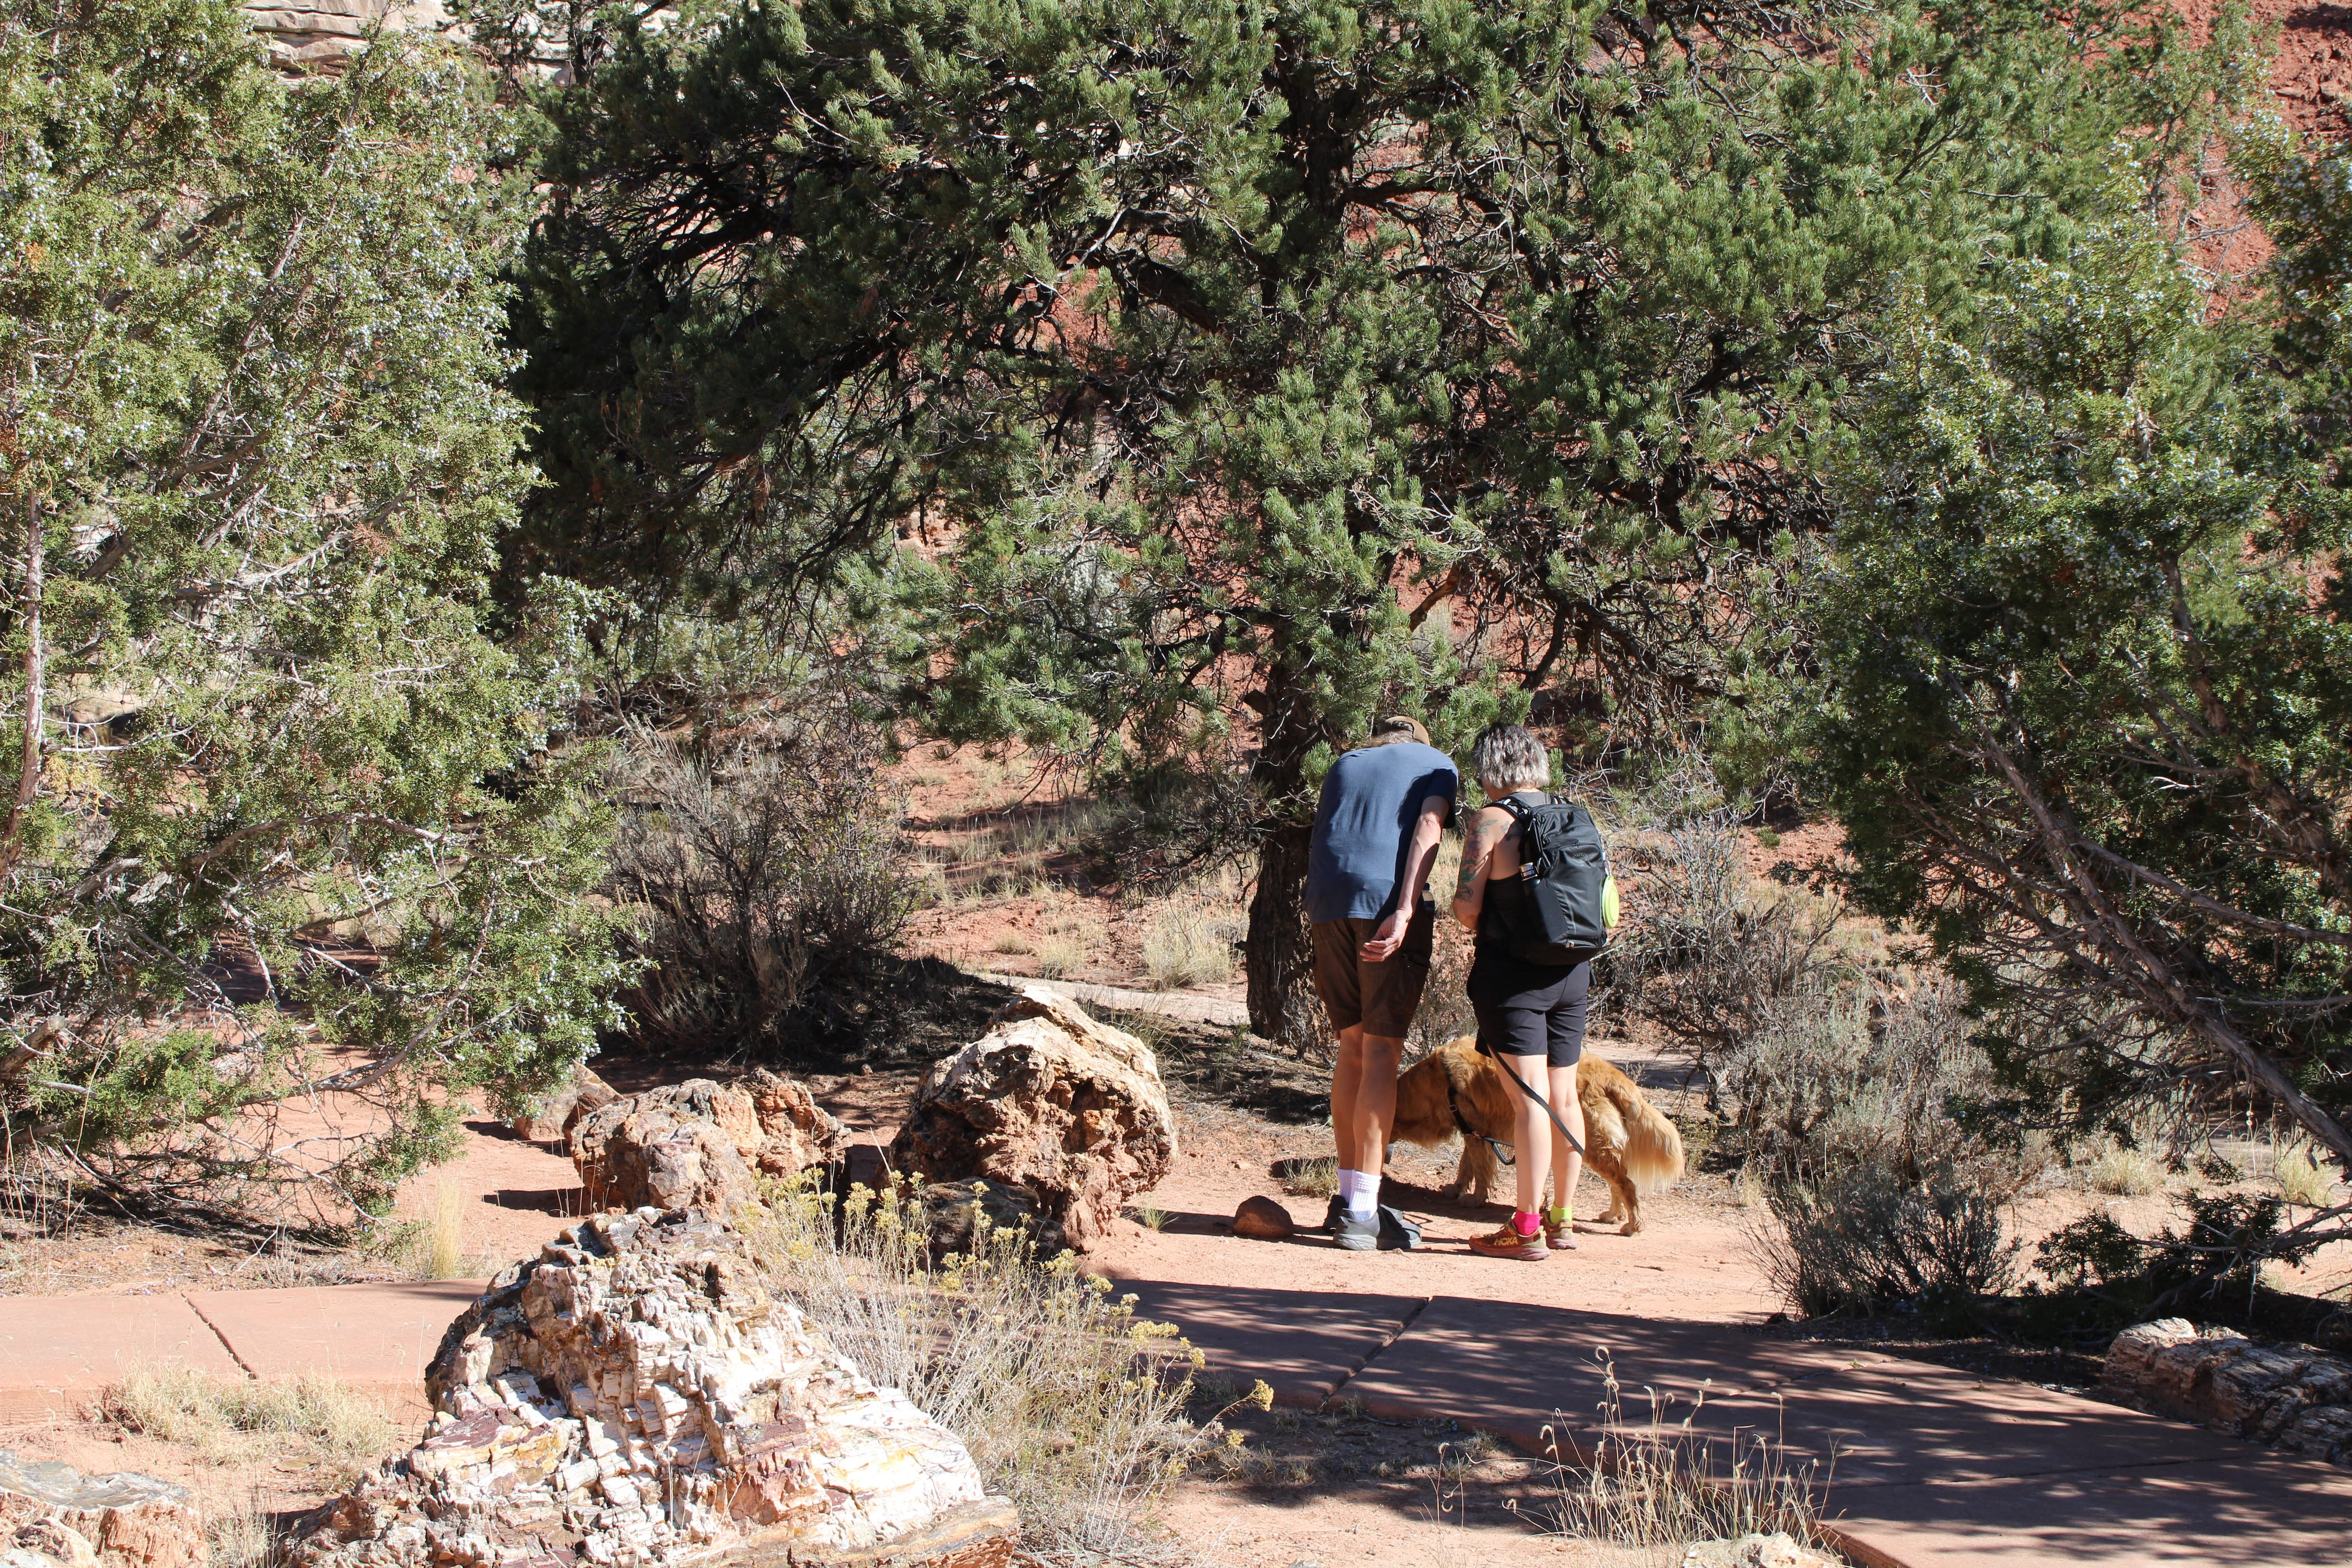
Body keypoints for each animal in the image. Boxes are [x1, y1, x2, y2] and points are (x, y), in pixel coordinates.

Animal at [1383, 1034, 1684, 1232]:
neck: (1437, 1081)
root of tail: (1609, 1074)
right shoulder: (1474, 1132)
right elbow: (1465, 1167)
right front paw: (1456, 1189)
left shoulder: (1478, 1133)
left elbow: (1479, 1171)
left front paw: (1476, 1199)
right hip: (1595, 1146)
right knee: (1617, 1183)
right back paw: (1613, 1215)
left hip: (1592, 1145)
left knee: (1627, 1184)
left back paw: (1633, 1225)